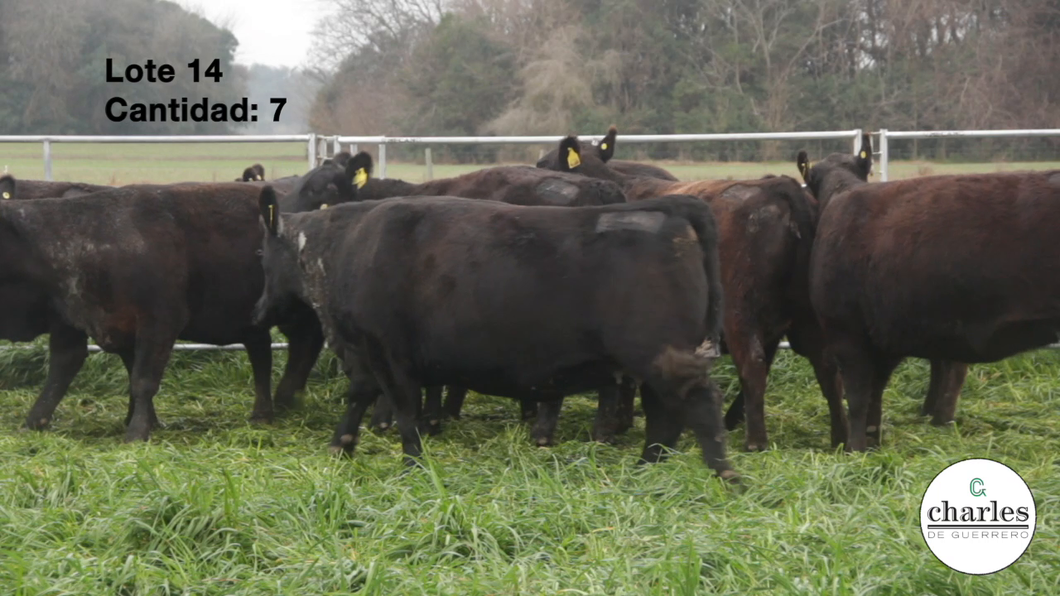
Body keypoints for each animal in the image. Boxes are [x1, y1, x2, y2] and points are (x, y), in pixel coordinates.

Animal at [2, 181, 324, 436]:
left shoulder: (159, 322)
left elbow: (143, 380)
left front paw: (137, 431)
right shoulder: (80, 320)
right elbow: (68, 370)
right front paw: (34, 422)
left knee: (304, 344)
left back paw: (286, 398)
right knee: (263, 353)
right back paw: (265, 411)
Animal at [256, 187, 737, 479]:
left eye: (262, 252)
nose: (258, 309)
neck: (348, 247)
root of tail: (673, 206)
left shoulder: (388, 352)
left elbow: (405, 412)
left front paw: (413, 466)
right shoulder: (368, 353)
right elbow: (360, 395)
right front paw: (341, 445)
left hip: (661, 355)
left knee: (699, 405)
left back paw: (725, 476)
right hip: (653, 361)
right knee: (664, 417)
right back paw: (646, 470)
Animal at [805, 165, 1060, 445]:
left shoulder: (847, 334)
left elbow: (858, 399)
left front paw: (855, 449)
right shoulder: (882, 342)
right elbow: (873, 400)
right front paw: (871, 445)